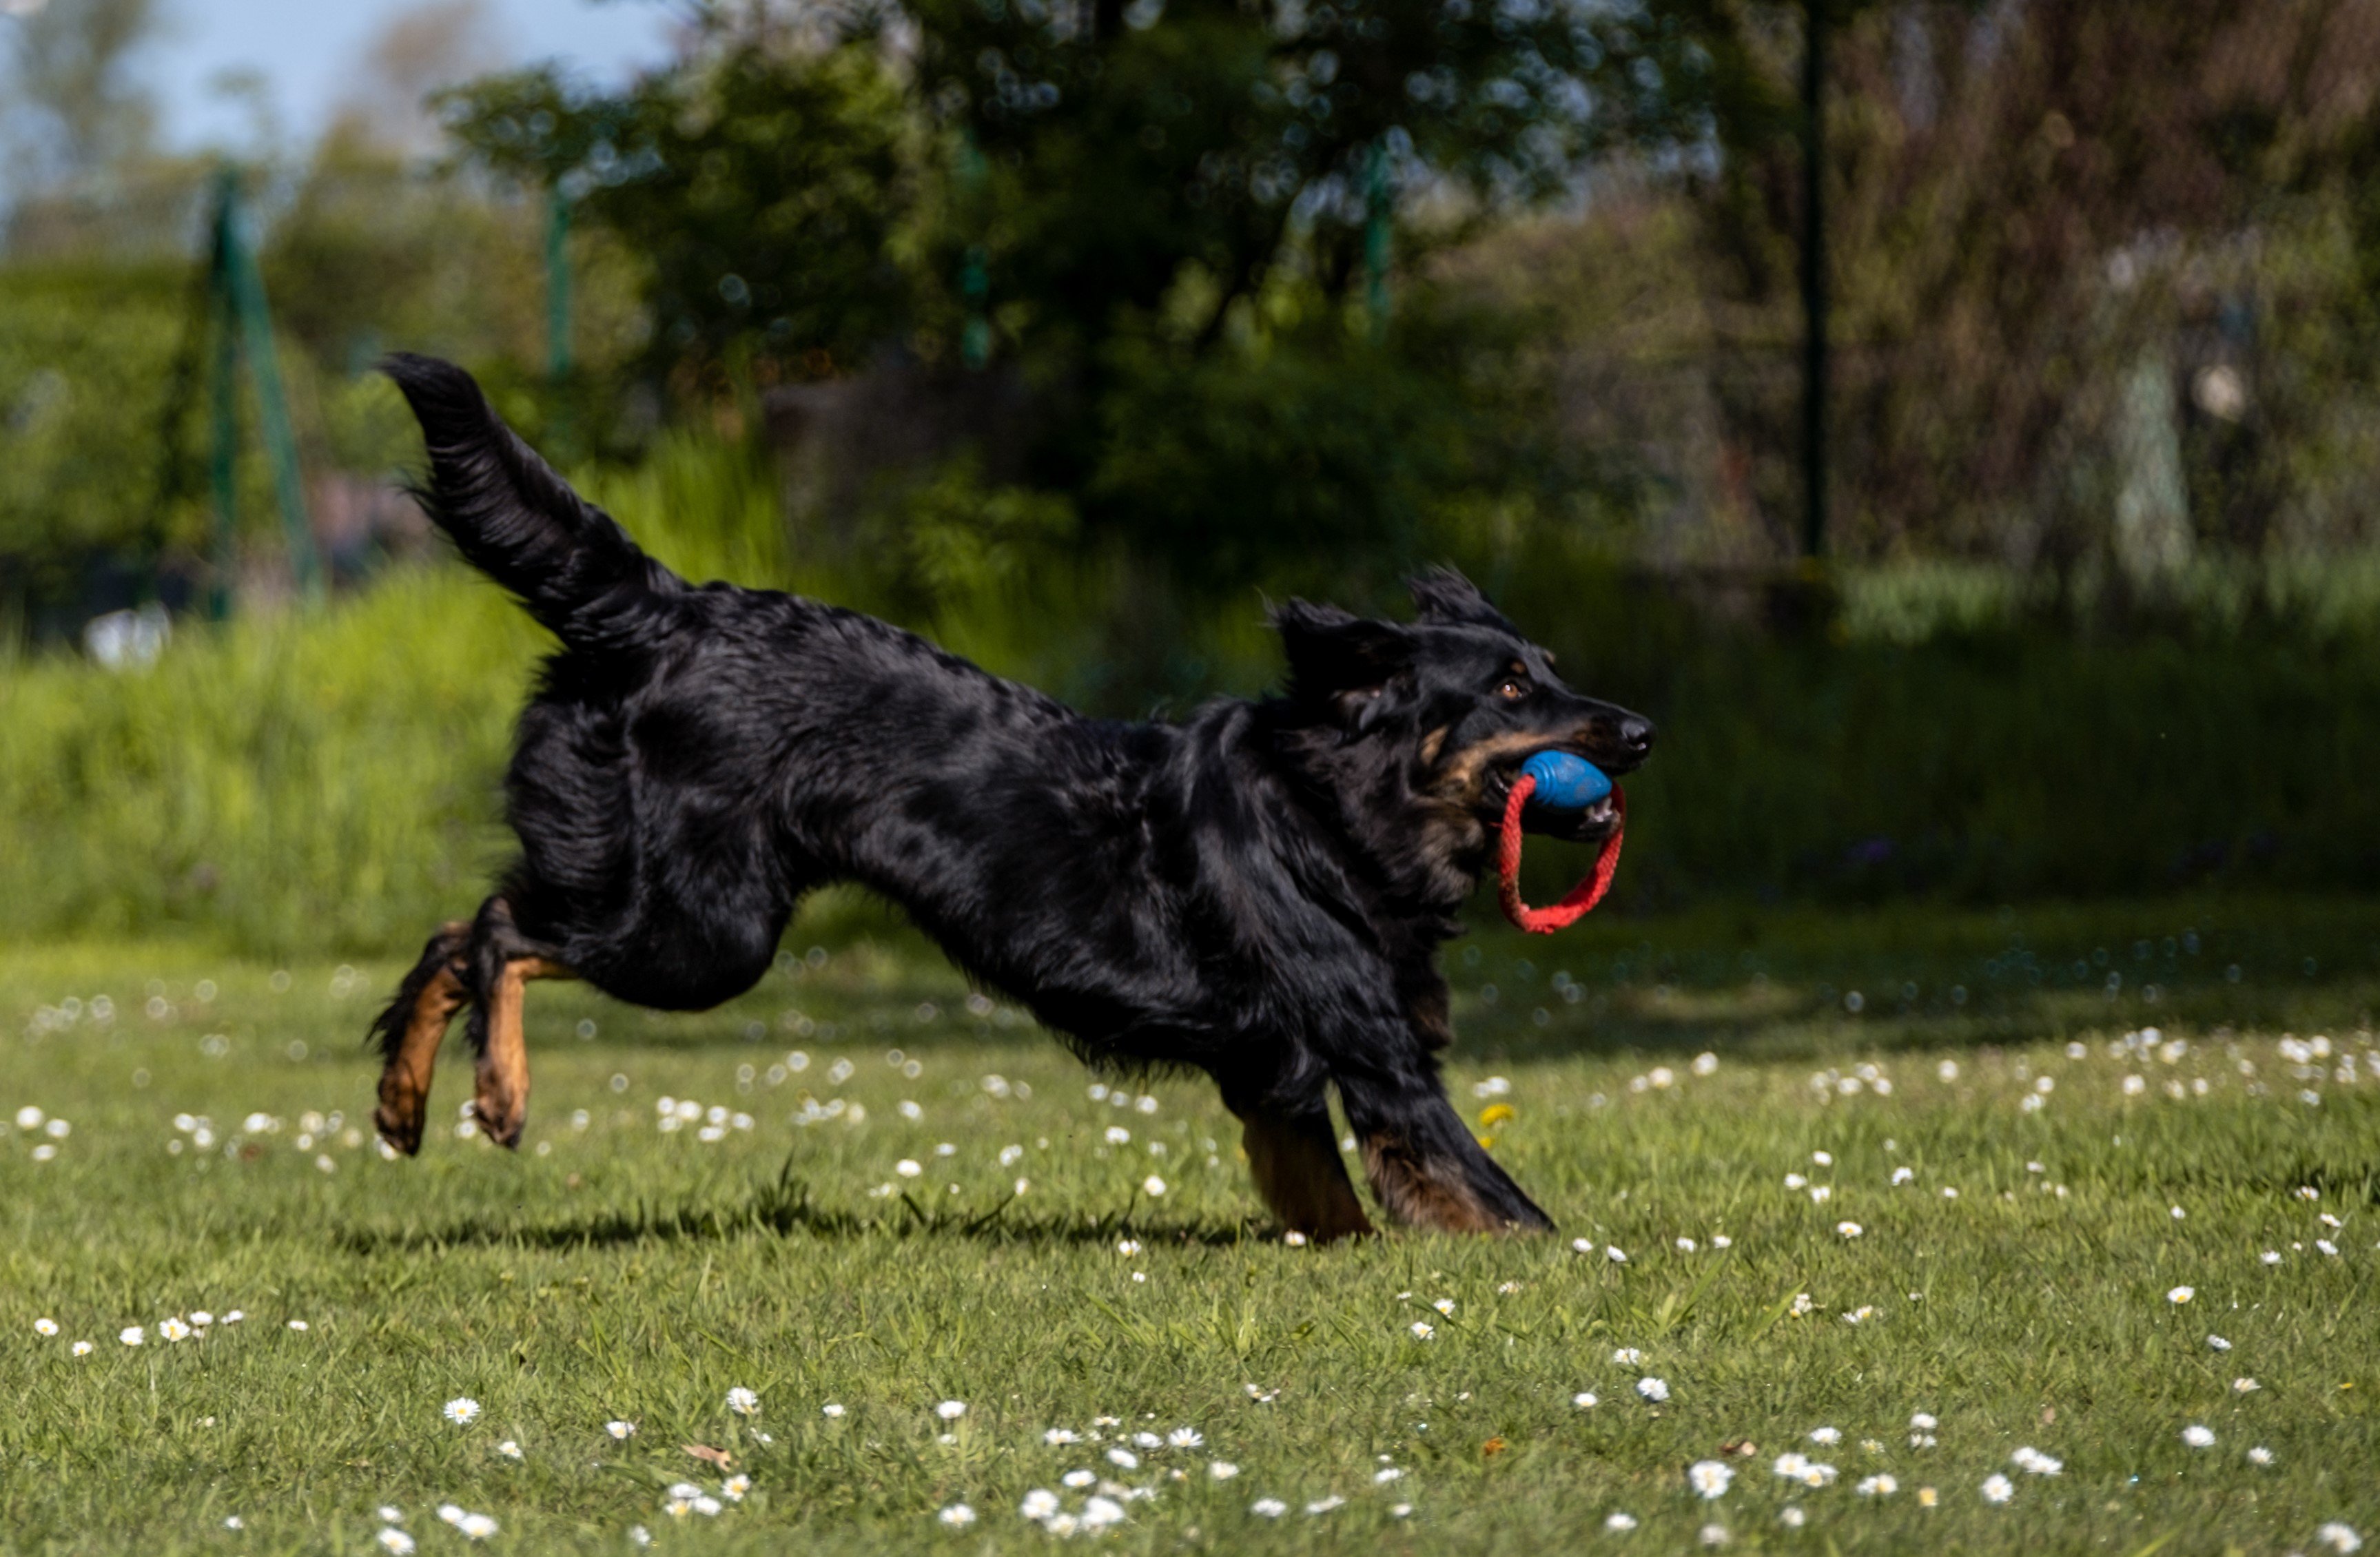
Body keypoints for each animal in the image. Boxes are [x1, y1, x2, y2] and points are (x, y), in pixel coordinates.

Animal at [371, 354, 1656, 1247]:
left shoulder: (1274, 1082)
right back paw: (495, 1091)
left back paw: (400, 1103)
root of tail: (665, 608)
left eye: (1545, 669)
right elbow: (1514, 1212)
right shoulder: (1379, 1063)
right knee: (498, 931)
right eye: (1507, 687)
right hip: (703, 936)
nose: (1642, 732)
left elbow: (1337, 1218)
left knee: (452, 933)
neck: (1329, 805)